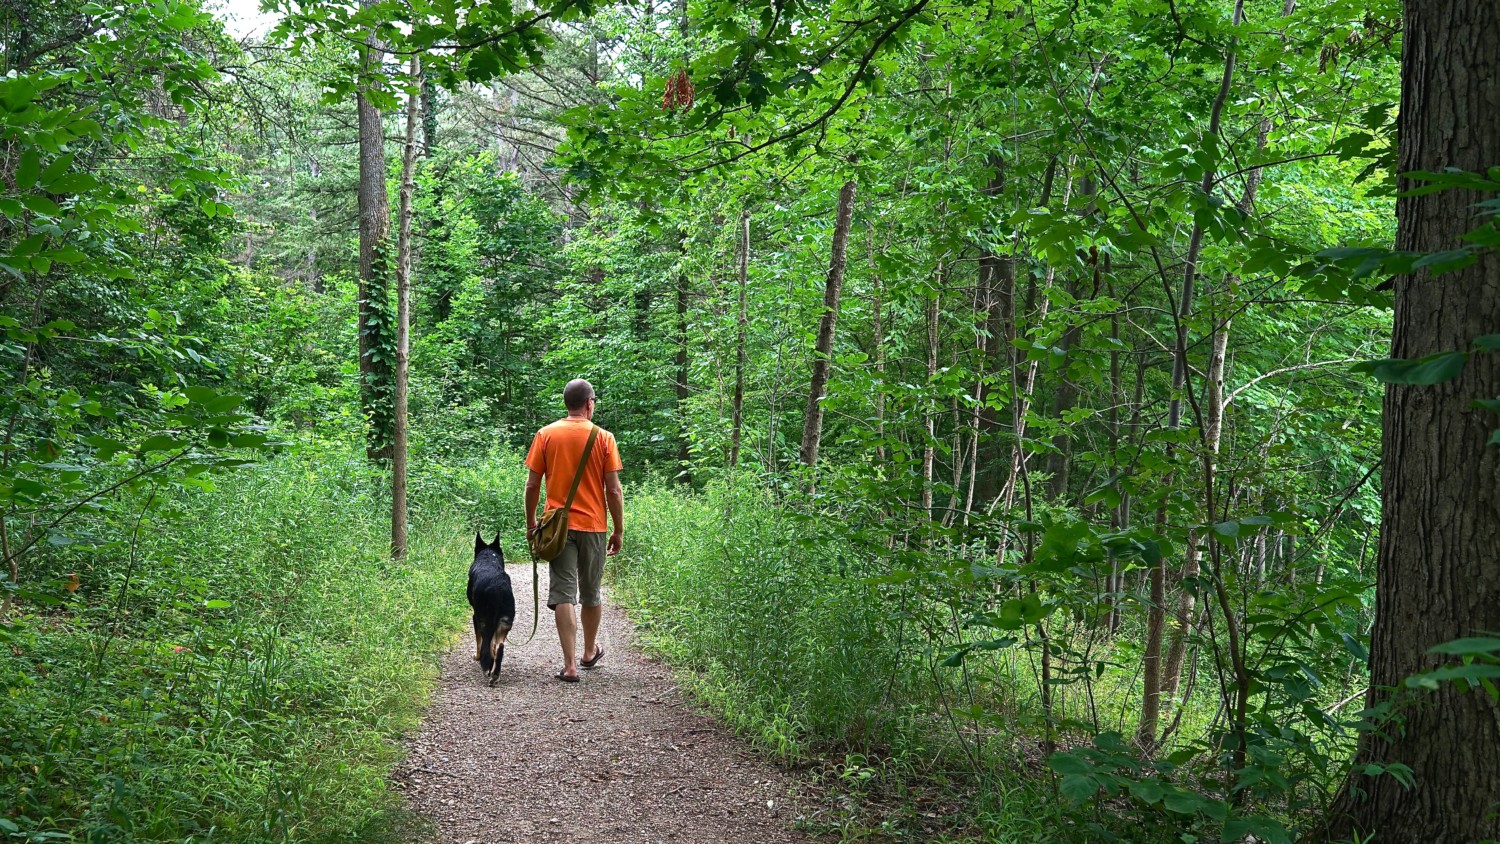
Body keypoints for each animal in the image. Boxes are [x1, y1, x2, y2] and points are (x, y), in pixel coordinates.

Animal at [468, 533, 516, 686]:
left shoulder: (475, 618)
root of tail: (497, 588)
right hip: (504, 623)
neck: (489, 557)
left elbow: (479, 641)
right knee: (499, 647)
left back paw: (486, 668)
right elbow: (494, 646)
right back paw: (495, 674)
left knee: (486, 643)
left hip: (485, 620)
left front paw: (477, 657)